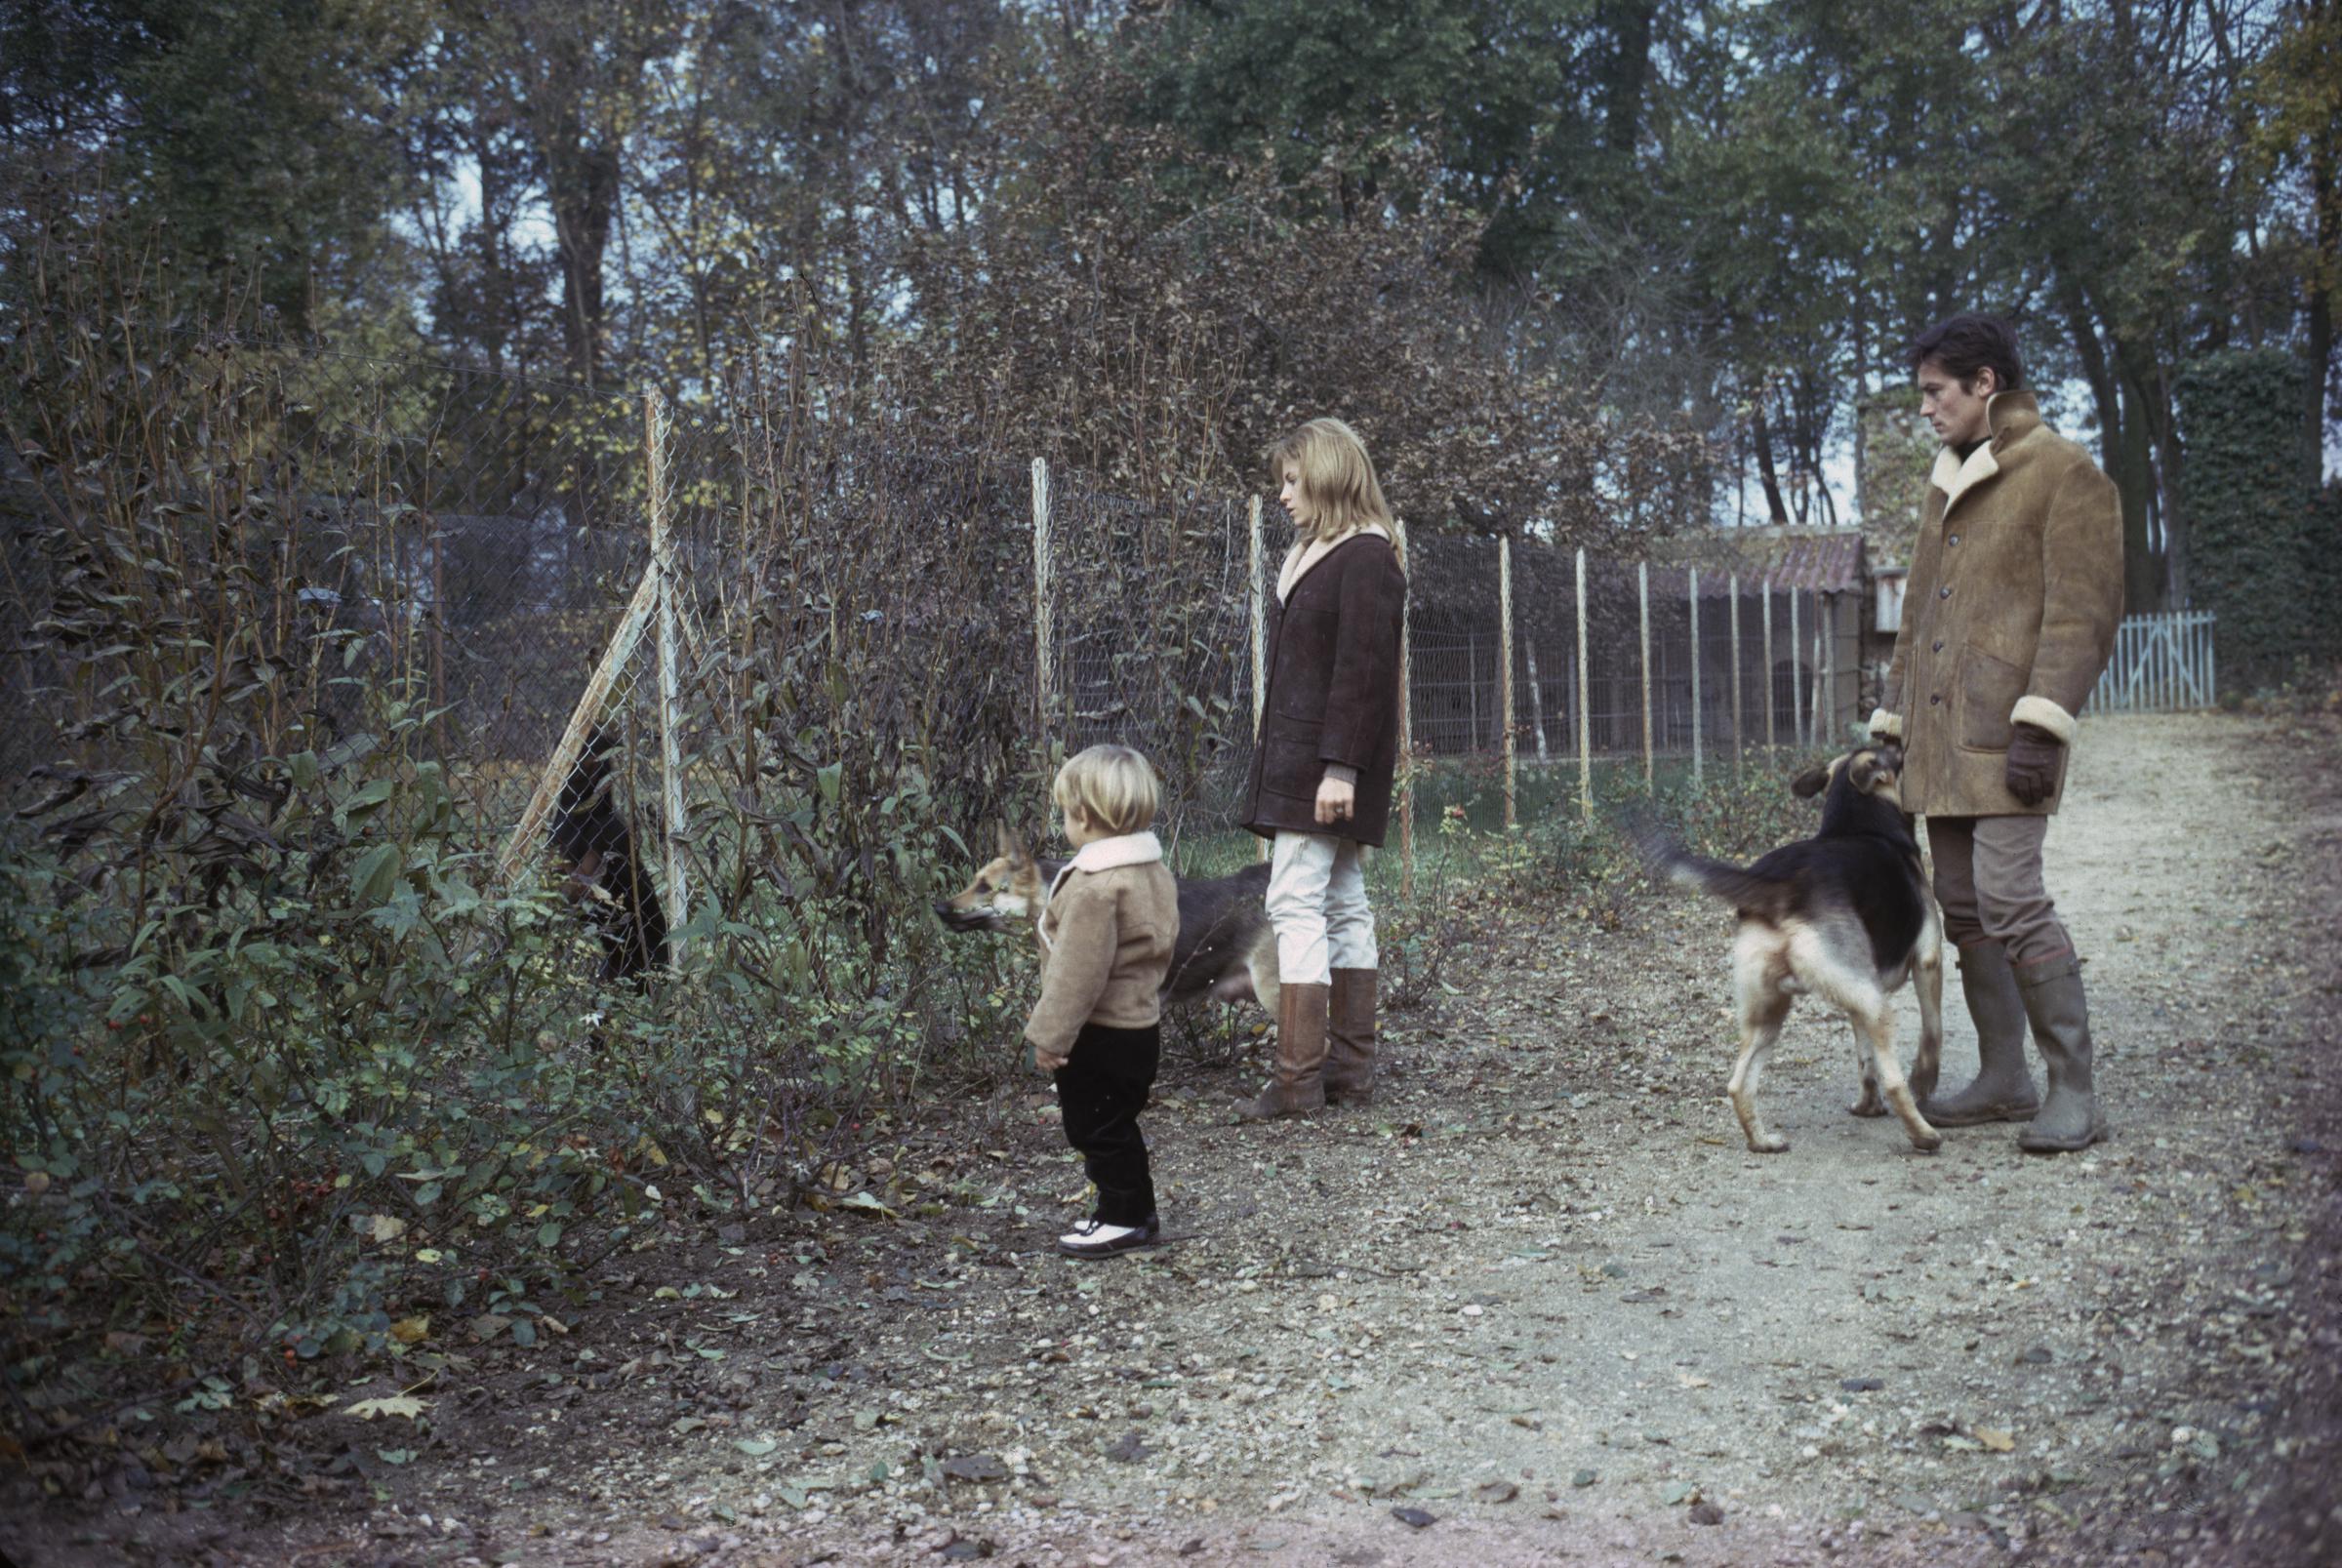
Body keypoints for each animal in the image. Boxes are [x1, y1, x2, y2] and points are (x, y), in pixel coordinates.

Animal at [1630, 748, 1939, 1155]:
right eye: (1895, 755)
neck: (1859, 823)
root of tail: (1780, 886)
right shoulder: (1928, 962)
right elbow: (1931, 1033)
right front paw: (1925, 1080)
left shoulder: (1857, 1002)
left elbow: (1864, 1061)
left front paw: (1867, 1107)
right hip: (1873, 1003)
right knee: (1895, 1081)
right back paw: (1923, 1135)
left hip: (1770, 1011)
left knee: (1738, 1084)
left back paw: (1762, 1140)